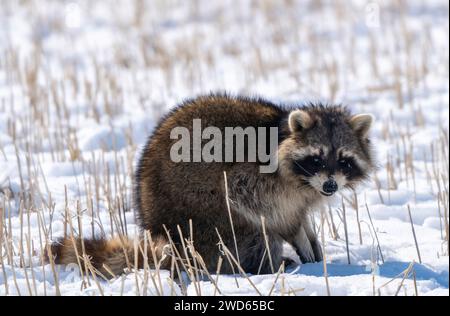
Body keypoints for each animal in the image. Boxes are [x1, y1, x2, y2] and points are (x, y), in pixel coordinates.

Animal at [49, 94, 374, 276]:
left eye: (343, 159)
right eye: (316, 159)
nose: (330, 187)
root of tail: (167, 240)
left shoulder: (302, 194)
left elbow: (300, 215)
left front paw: (312, 243)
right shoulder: (256, 177)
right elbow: (260, 207)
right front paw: (299, 240)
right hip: (207, 222)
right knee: (256, 232)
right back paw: (265, 265)